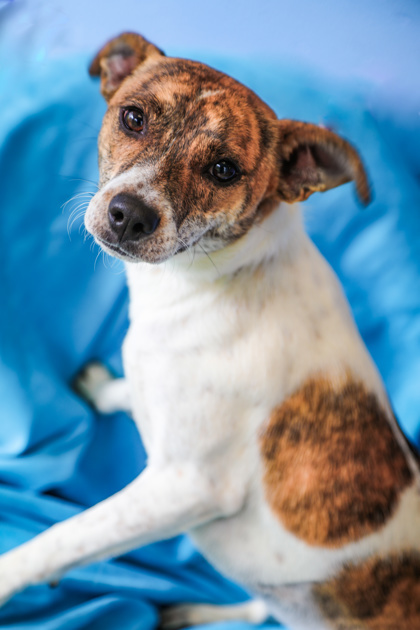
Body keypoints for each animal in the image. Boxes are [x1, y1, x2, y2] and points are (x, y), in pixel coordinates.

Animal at [0, 33, 420, 630]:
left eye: (223, 170)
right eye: (133, 118)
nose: (129, 215)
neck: (203, 285)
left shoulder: (188, 486)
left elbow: (65, 536)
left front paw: (8, 576)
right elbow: (128, 391)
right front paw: (105, 389)